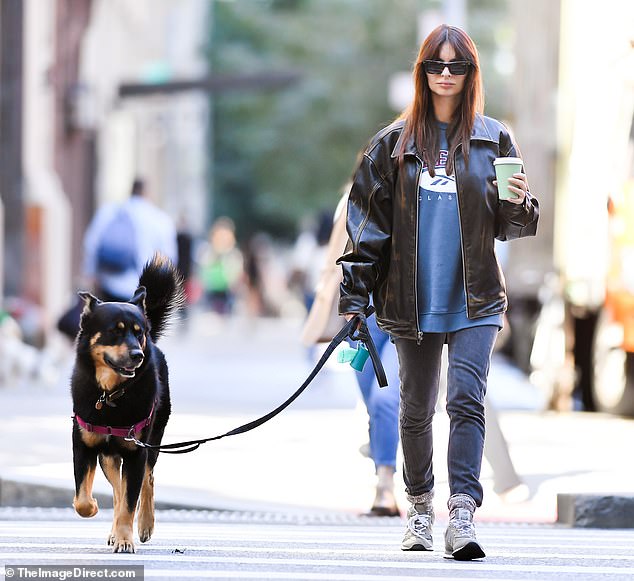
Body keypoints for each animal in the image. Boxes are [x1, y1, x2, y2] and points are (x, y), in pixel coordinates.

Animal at [73, 255, 185, 552]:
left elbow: (130, 501)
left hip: (152, 440)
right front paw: (96, 511)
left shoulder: (136, 451)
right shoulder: (83, 445)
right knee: (117, 489)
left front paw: (126, 539)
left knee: (146, 480)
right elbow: (82, 499)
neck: (110, 395)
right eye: (115, 331)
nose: (138, 354)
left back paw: (144, 525)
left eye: (138, 333)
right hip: (109, 457)